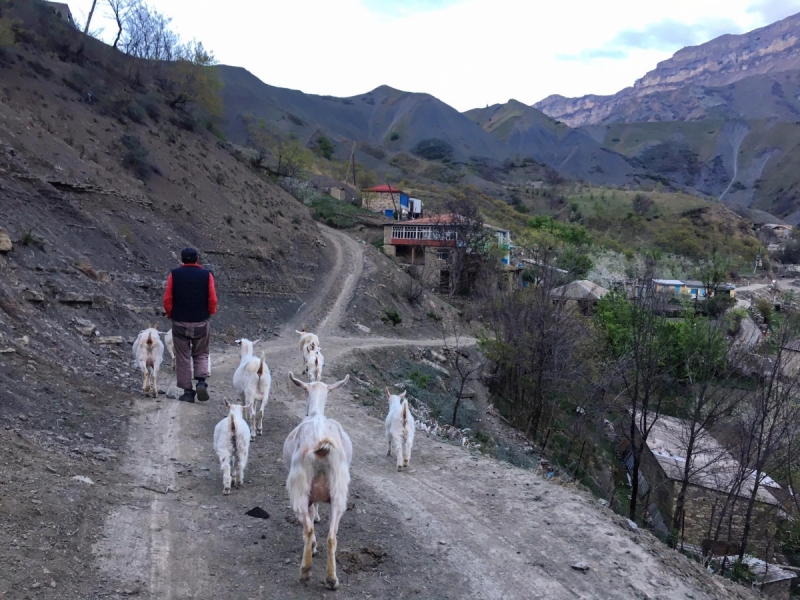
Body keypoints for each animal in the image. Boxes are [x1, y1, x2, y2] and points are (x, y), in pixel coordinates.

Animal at [286, 372, 352, 588]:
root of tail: (321, 446)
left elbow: (312, 513)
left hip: (299, 486)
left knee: (307, 530)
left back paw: (306, 570)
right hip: (339, 490)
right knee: (332, 537)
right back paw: (332, 579)